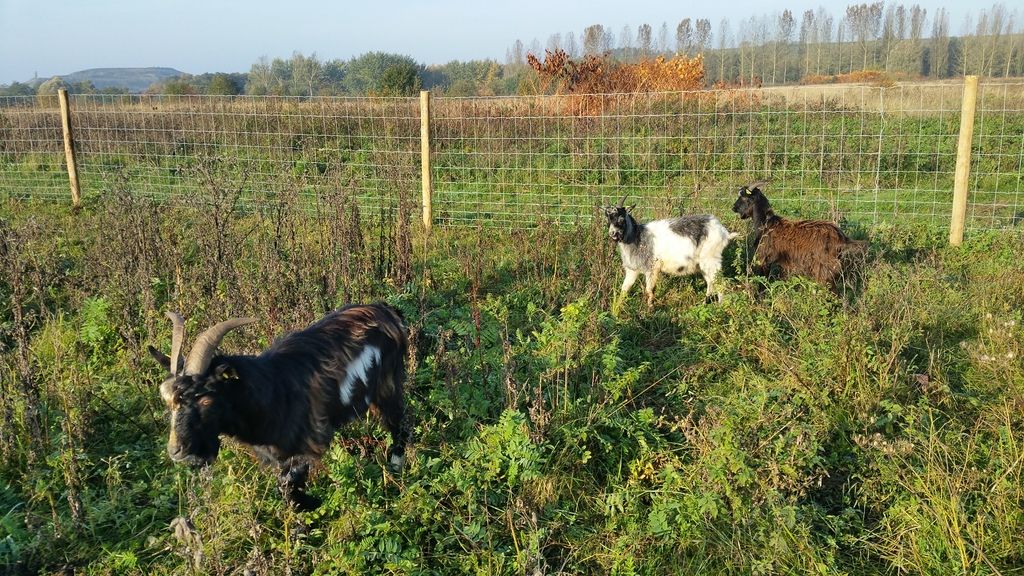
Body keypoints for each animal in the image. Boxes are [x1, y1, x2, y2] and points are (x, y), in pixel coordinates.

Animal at [148, 301, 411, 506]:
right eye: (167, 400)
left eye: (205, 398)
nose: (176, 451)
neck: (272, 394)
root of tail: (387, 311)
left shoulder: (305, 448)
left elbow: (289, 492)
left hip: (387, 386)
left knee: (401, 425)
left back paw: (396, 473)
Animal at [598, 194, 737, 307]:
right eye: (607, 219)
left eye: (621, 219)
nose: (613, 233)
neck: (637, 238)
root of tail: (723, 232)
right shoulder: (632, 271)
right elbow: (624, 290)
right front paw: (616, 311)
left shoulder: (652, 269)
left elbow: (649, 290)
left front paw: (650, 309)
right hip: (703, 264)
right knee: (710, 282)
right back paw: (704, 303)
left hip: (711, 260)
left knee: (720, 283)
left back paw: (720, 307)